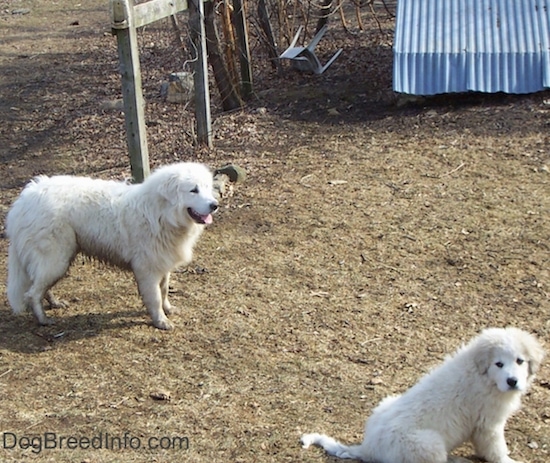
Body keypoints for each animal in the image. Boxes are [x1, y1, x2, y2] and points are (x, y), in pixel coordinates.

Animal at [6, 162, 219, 330]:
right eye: (193, 190)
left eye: (207, 188)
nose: (215, 205)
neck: (161, 213)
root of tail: (26, 197)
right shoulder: (147, 269)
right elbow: (155, 297)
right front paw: (161, 321)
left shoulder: (162, 263)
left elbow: (164, 290)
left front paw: (168, 309)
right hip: (56, 259)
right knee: (32, 293)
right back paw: (43, 319)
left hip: (58, 260)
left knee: (39, 287)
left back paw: (54, 303)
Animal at [304, 326, 544, 463]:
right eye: (498, 364)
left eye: (520, 361)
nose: (512, 381)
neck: (482, 375)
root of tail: (368, 447)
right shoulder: (488, 424)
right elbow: (496, 449)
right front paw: (508, 460)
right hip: (429, 443)